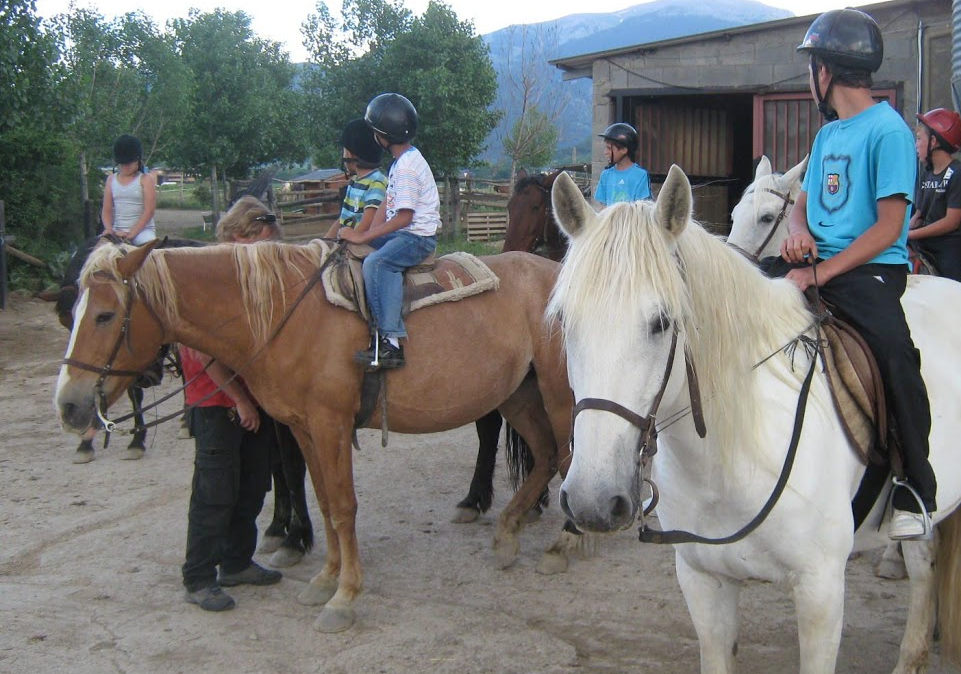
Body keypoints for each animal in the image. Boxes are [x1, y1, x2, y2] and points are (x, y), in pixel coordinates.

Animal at [56, 240, 576, 632]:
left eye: (105, 315)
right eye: (73, 313)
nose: (68, 405)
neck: (282, 314)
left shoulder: (330, 425)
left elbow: (344, 507)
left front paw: (344, 598)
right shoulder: (303, 426)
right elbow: (324, 503)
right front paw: (325, 580)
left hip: (559, 395)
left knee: (568, 460)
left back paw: (562, 547)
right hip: (517, 394)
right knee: (546, 455)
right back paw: (508, 534)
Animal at [548, 164, 960, 672]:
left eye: (662, 322)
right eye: (565, 321)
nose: (592, 501)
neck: (730, 459)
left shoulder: (822, 591)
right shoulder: (704, 584)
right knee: (924, 563)